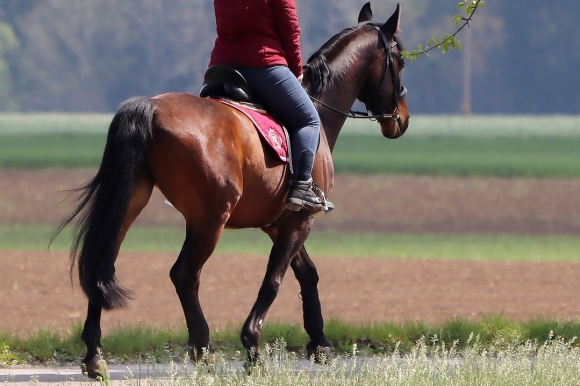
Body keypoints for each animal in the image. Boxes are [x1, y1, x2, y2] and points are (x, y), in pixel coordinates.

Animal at [53, 2, 408, 376]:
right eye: (399, 60)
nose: (401, 118)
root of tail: (150, 106)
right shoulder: (301, 221)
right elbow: (274, 280)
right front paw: (252, 347)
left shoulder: (280, 223)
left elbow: (307, 274)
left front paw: (319, 343)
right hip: (210, 220)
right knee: (184, 275)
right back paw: (202, 349)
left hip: (131, 204)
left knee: (102, 263)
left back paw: (95, 356)